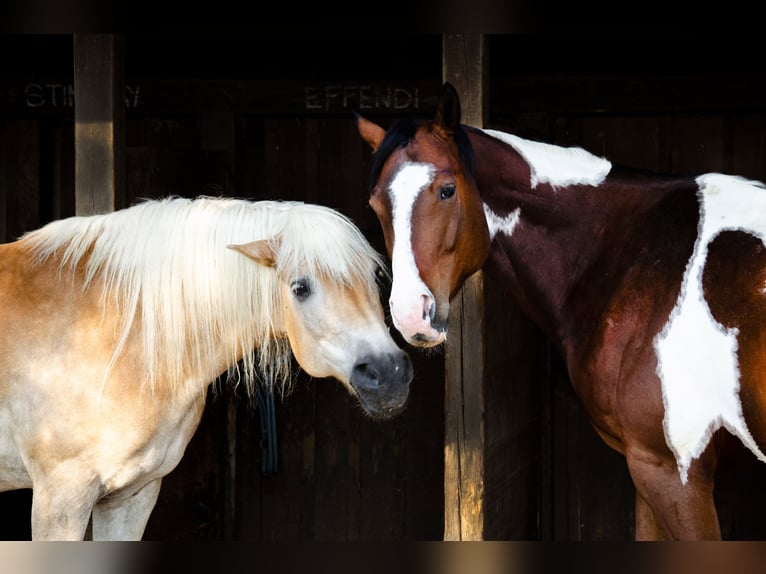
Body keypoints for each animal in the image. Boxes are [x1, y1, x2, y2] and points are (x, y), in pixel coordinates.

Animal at [0, 197, 414, 540]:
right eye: (300, 287)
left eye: (375, 276)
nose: (389, 374)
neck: (120, 331)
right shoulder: (61, 497)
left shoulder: (130, 496)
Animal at [356, 83, 766, 544]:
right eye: (376, 206)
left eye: (446, 190)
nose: (411, 314)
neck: (638, 252)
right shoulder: (646, 466)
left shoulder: (676, 471)